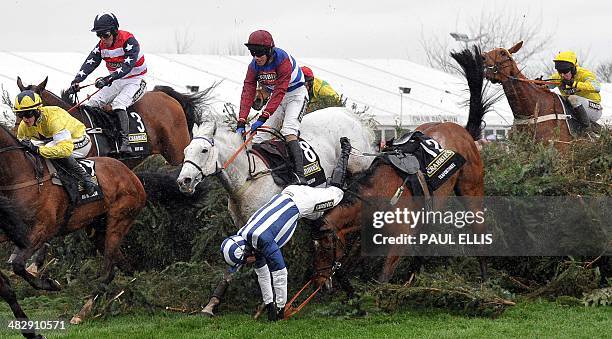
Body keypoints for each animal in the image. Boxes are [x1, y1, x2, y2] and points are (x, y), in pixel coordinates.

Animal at [0, 125, 146, 324]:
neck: (20, 176)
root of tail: (132, 176)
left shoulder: (42, 230)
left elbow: (18, 266)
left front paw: (50, 283)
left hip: (119, 220)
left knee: (109, 271)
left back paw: (83, 312)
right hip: (97, 229)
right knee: (124, 265)